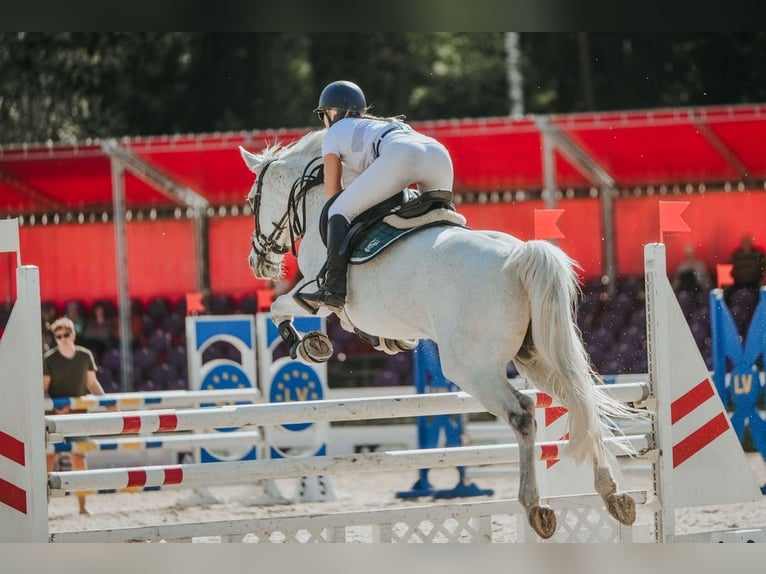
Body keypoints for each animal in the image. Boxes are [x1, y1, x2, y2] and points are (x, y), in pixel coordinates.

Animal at [239, 129, 642, 539]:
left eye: (252, 200)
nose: (258, 263)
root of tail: (519, 257)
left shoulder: (318, 296)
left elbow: (282, 307)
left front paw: (307, 345)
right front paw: (384, 342)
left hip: (471, 368)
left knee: (523, 413)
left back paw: (536, 506)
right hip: (537, 357)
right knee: (579, 402)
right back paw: (614, 496)